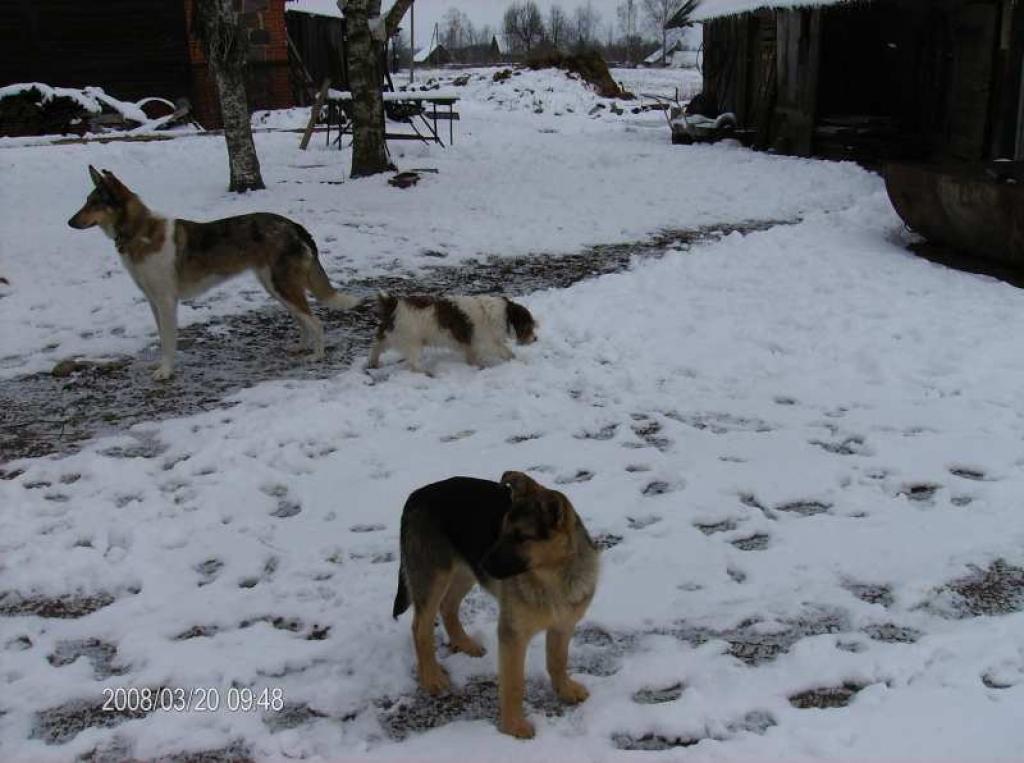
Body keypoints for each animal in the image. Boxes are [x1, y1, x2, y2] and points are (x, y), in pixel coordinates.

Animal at [65, 166, 360, 380]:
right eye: (86, 201)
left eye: (95, 203)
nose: (69, 222)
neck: (139, 233)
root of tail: (293, 225)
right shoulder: (153, 302)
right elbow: (162, 339)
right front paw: (164, 367)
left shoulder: (166, 301)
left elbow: (168, 341)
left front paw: (166, 372)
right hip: (275, 287)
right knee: (302, 320)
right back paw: (301, 346)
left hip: (282, 286)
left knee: (316, 322)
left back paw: (317, 355)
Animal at [370, 290, 544, 372]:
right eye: (528, 326)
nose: (535, 339)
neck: (499, 314)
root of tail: (394, 304)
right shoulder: (487, 342)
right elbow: (507, 352)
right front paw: (518, 361)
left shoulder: (471, 344)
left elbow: (472, 356)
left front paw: (475, 366)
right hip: (412, 342)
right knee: (414, 364)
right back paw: (427, 372)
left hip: (389, 334)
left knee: (377, 346)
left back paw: (373, 363)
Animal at [391, 471, 598, 737]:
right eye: (502, 530)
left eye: (522, 537)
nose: (483, 562)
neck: (551, 577)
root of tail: (416, 495)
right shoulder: (513, 635)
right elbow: (514, 684)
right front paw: (513, 726)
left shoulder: (563, 625)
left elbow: (558, 661)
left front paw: (565, 691)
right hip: (435, 576)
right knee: (420, 628)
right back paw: (431, 678)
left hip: (465, 572)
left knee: (448, 606)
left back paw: (464, 643)